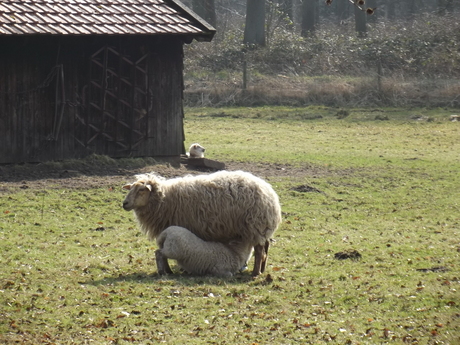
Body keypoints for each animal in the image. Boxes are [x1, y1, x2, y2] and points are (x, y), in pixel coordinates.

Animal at [122, 168, 280, 276]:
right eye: (131, 189)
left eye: (142, 190)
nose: (125, 203)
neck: (164, 199)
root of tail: (269, 192)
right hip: (261, 228)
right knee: (266, 246)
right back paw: (262, 269)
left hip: (255, 226)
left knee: (259, 251)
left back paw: (255, 273)